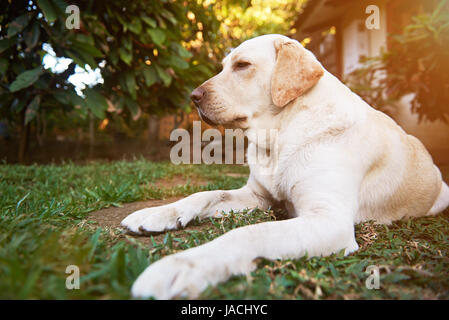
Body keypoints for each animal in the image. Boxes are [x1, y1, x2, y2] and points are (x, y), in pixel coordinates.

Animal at [121, 33, 448, 298]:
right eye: (224, 66)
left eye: (242, 65)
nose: (193, 97)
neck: (281, 134)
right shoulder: (257, 196)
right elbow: (205, 194)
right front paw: (157, 212)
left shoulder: (330, 220)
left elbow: (250, 233)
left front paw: (182, 266)